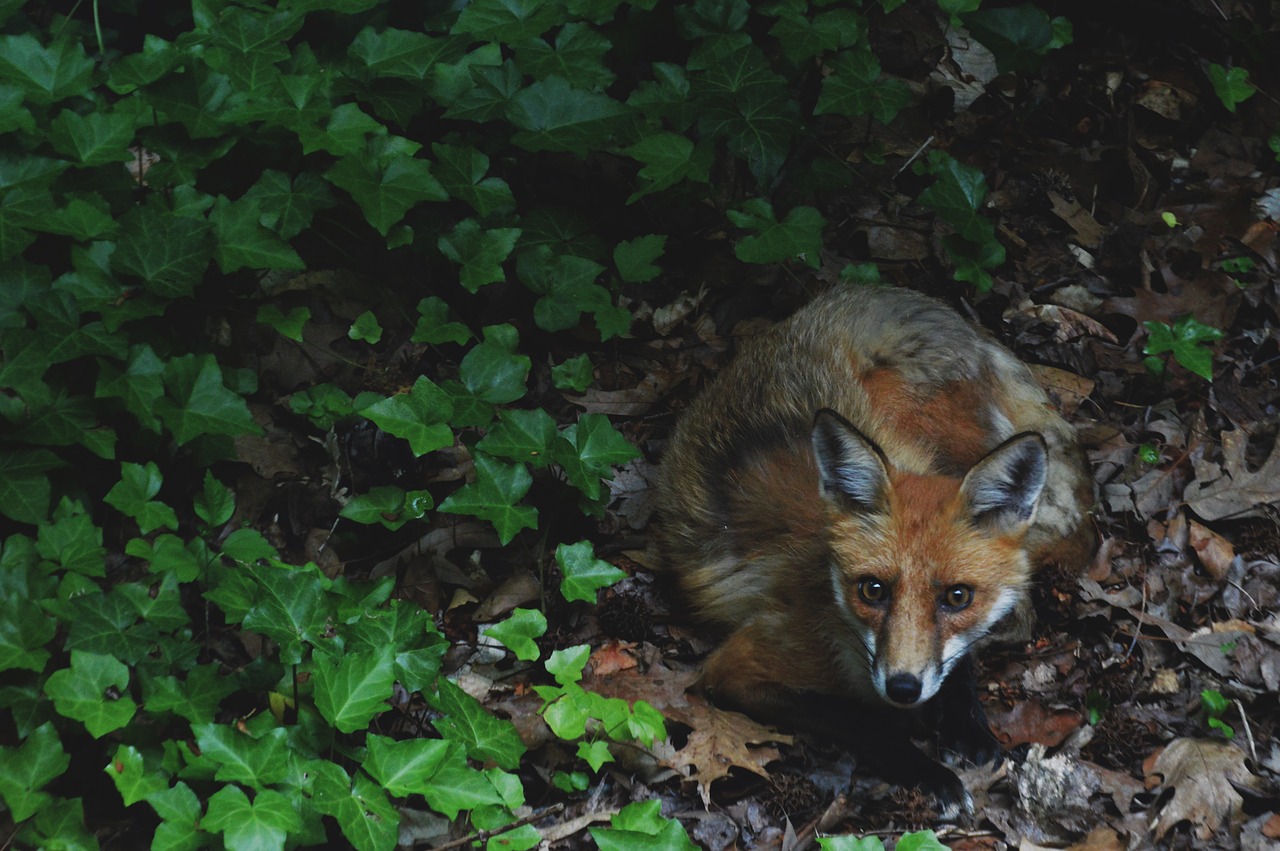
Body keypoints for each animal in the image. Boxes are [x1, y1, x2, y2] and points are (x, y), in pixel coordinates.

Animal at [655, 284, 1095, 808]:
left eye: (958, 597)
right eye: (872, 590)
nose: (903, 688)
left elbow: (958, 660)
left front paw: (966, 725)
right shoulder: (735, 669)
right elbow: (859, 719)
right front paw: (925, 769)